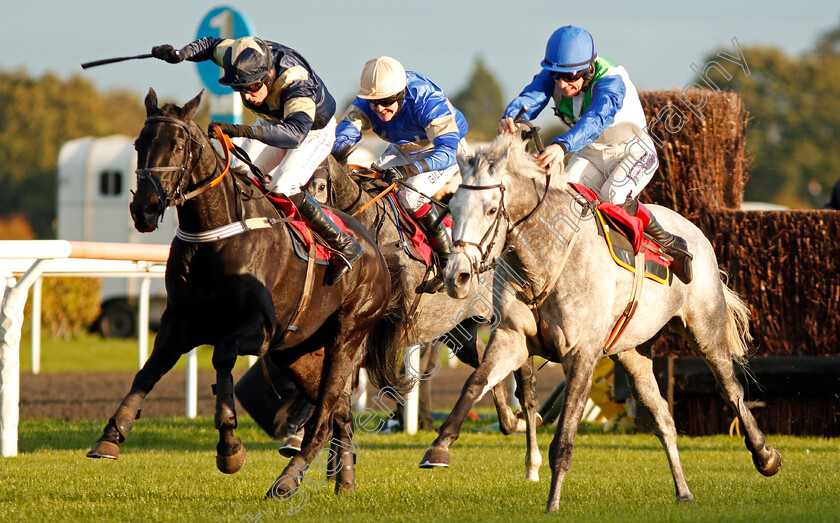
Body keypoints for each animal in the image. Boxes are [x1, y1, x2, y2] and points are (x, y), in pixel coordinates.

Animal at [86, 90, 410, 500]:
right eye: (138, 145)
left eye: (178, 146)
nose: (143, 209)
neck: (215, 235)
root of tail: (375, 251)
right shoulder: (179, 321)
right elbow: (148, 371)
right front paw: (112, 434)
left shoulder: (259, 327)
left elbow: (222, 357)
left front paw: (229, 446)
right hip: (298, 352)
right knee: (340, 411)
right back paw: (344, 480)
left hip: (347, 335)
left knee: (323, 415)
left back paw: (288, 479)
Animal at [420, 134, 780, 512]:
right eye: (453, 208)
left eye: (491, 209)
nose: (457, 276)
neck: (544, 263)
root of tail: (694, 230)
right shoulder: (510, 338)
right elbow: (475, 383)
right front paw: (439, 447)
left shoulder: (581, 354)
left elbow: (564, 437)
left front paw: (553, 503)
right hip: (633, 353)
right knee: (663, 417)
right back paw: (683, 491)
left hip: (705, 331)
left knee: (731, 390)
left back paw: (766, 456)